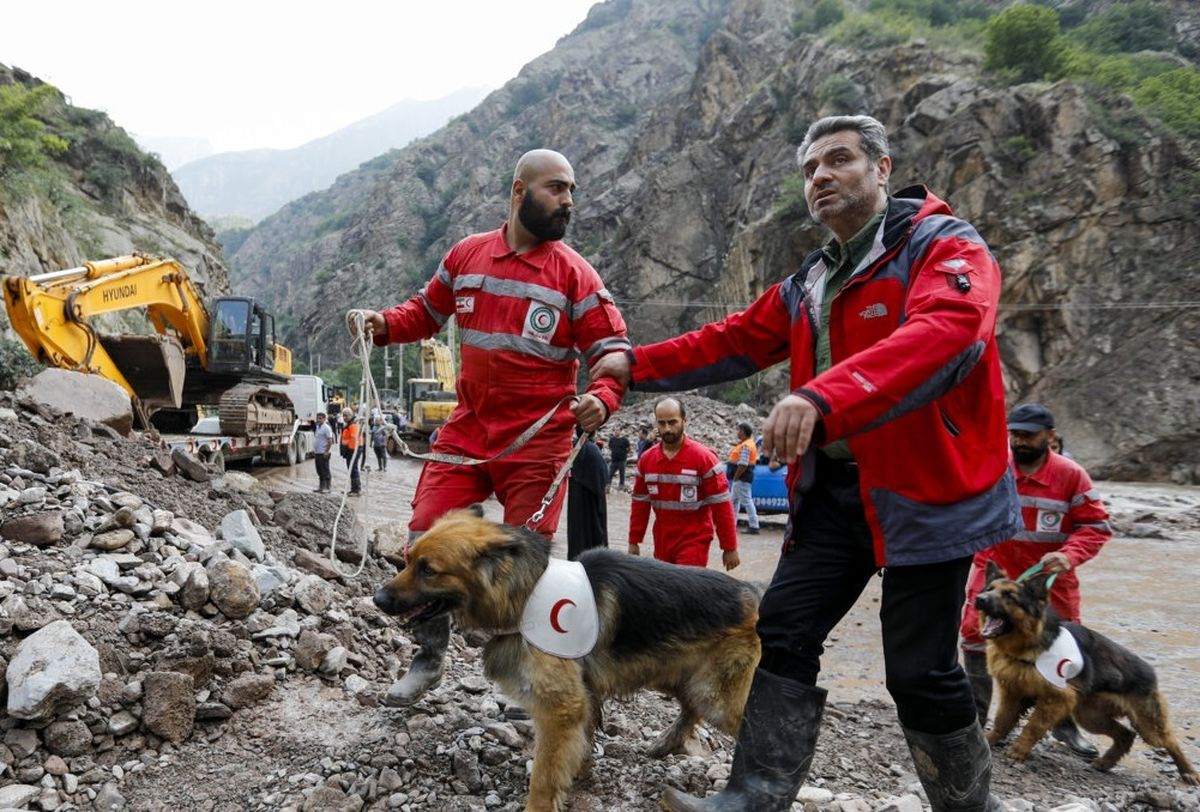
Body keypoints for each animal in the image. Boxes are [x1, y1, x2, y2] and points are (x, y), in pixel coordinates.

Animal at [372, 506, 758, 810]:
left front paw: (540, 804)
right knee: (690, 707)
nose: (377, 598)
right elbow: (579, 743)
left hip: (713, 693)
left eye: (428, 569)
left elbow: (544, 774)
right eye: (408, 561)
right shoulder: (581, 696)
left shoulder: (561, 707)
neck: (524, 592)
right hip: (680, 673)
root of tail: (754, 592)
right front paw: (581, 771)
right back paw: (667, 742)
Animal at [979, 561, 1195, 782]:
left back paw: (1189, 772)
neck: (1029, 645)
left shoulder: (1056, 698)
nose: (979, 599)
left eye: (1009, 596)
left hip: (1147, 727)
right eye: (989, 589)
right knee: (1126, 734)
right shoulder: (1013, 693)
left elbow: (1033, 726)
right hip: (1090, 715)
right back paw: (1106, 762)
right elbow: (1002, 721)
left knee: (1169, 741)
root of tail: (1151, 672)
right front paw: (990, 740)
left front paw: (1019, 751)